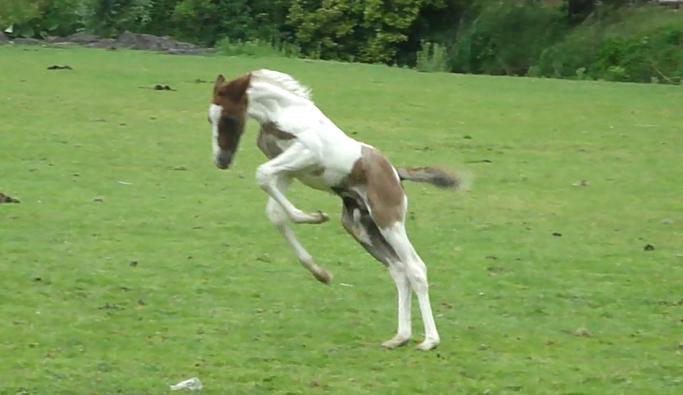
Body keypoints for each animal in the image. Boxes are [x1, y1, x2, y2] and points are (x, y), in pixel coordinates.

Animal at [206, 69, 462, 352]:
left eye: (228, 118)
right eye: (210, 118)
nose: (221, 160)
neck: (282, 111)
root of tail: (396, 173)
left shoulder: (306, 153)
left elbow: (262, 176)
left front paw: (315, 217)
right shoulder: (288, 171)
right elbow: (274, 210)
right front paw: (320, 271)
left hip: (388, 220)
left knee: (415, 268)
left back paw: (429, 340)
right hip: (360, 227)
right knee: (398, 269)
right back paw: (401, 336)